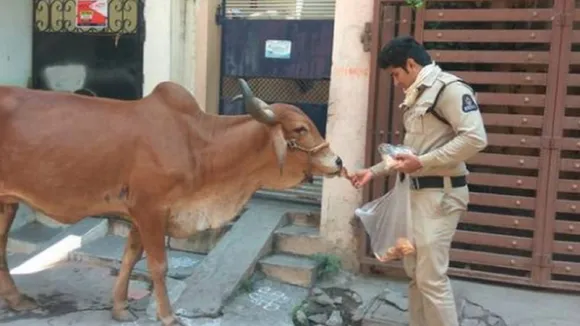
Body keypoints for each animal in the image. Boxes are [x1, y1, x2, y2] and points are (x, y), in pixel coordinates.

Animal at [0, 78, 344, 324]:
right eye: (300, 128)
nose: (338, 161)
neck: (197, 144)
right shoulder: (150, 209)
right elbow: (158, 265)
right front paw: (167, 316)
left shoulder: (141, 213)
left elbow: (131, 256)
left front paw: (120, 307)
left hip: (7, 202)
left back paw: (16, 300)